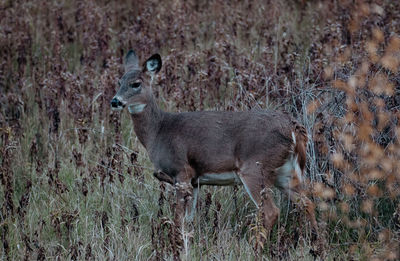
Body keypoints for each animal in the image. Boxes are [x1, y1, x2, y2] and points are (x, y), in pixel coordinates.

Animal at [109, 48, 318, 238]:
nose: (115, 101)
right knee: (307, 203)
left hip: (255, 167)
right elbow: (188, 219)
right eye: (119, 82)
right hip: (286, 172)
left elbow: (178, 218)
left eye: (136, 84)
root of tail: (293, 127)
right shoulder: (194, 181)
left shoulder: (181, 171)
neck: (159, 131)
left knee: (271, 211)